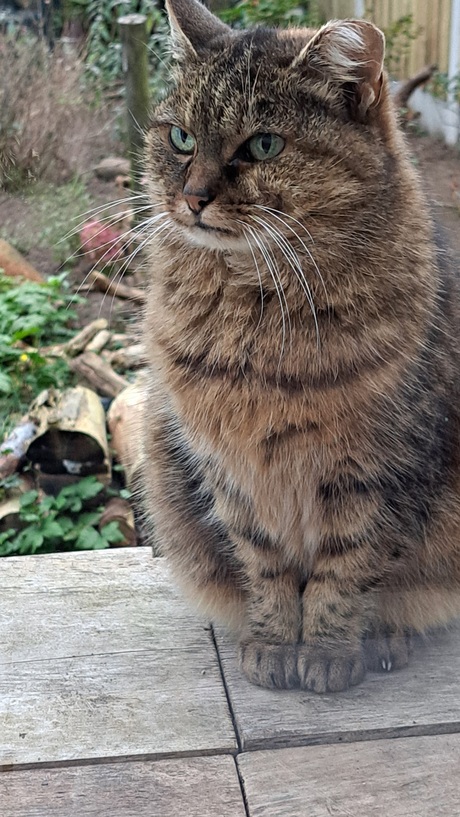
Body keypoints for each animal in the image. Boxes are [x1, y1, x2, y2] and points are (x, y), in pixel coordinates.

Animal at [139, 0, 460, 692]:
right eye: (181, 138)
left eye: (263, 145)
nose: (193, 198)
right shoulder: (230, 472)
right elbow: (265, 564)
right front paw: (273, 642)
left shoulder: (378, 473)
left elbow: (348, 570)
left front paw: (329, 650)